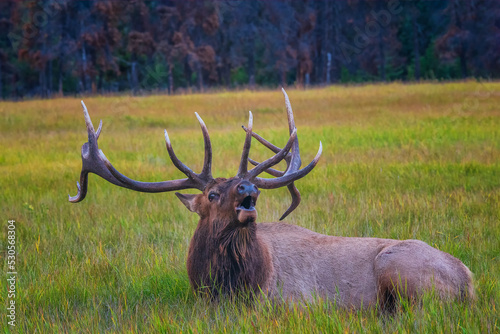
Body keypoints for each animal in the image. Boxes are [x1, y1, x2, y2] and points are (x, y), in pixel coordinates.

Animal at [69, 89, 472, 310]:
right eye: (212, 193)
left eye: (246, 185)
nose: (249, 189)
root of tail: (469, 281)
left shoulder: (294, 302)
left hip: (400, 270)